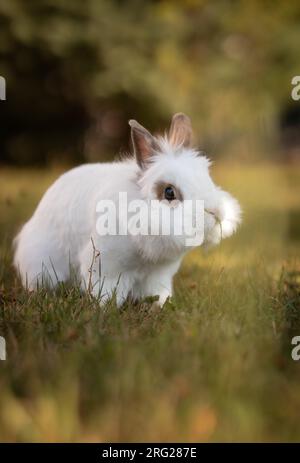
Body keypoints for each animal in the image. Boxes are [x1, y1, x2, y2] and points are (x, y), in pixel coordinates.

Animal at [14, 113, 241, 308]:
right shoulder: (106, 266)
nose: (216, 213)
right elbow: (106, 291)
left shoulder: (158, 275)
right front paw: (104, 308)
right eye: (169, 192)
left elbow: (156, 293)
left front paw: (159, 305)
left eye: (207, 178)